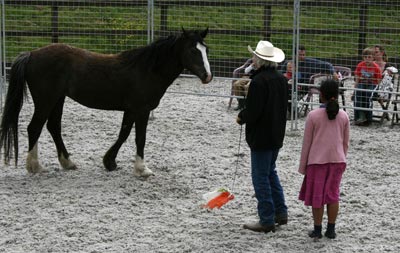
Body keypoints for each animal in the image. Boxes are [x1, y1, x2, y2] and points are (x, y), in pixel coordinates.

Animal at [0, 27, 212, 174]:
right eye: (192, 50)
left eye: (206, 49)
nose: (207, 76)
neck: (147, 69)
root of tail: (31, 54)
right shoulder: (141, 110)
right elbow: (139, 138)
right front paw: (142, 169)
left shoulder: (131, 109)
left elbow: (123, 134)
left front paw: (110, 162)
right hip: (46, 100)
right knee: (34, 127)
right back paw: (35, 166)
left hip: (58, 99)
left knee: (53, 127)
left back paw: (67, 162)